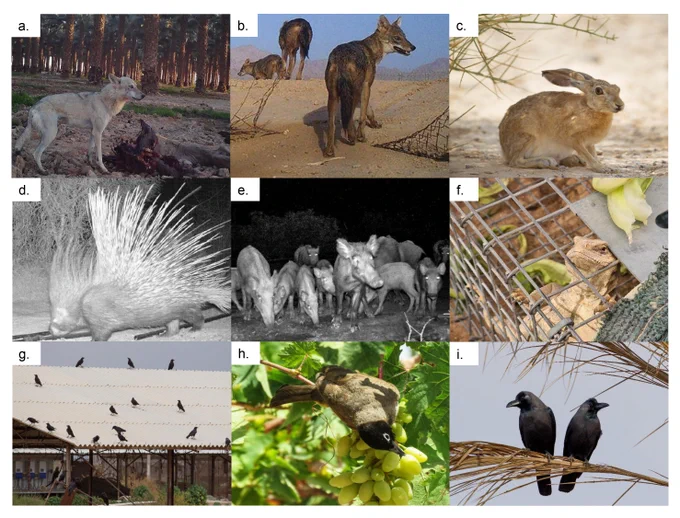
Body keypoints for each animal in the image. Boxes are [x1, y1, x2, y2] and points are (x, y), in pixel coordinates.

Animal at [14, 74, 145, 174]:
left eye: (136, 86)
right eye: (131, 87)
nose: (144, 95)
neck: (105, 101)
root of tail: (34, 106)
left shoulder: (93, 132)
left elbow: (90, 151)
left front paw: (91, 165)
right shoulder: (99, 133)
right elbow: (99, 155)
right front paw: (104, 169)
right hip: (51, 135)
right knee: (36, 153)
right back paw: (43, 171)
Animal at [323, 15, 415, 157]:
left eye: (405, 36)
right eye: (397, 38)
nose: (413, 47)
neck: (371, 49)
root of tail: (341, 56)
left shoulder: (362, 89)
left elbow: (369, 110)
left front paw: (374, 123)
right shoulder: (367, 85)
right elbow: (362, 115)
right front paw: (362, 136)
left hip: (333, 95)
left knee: (331, 125)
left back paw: (329, 151)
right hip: (353, 92)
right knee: (349, 118)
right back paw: (352, 137)